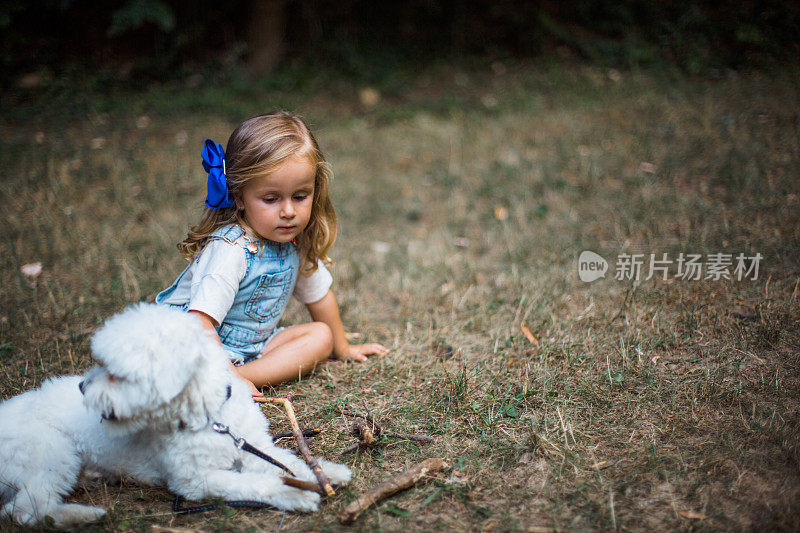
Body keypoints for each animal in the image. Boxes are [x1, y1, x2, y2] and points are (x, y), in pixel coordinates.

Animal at [0, 302, 350, 524]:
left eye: (116, 373)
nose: (82, 387)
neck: (210, 420)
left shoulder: (253, 446)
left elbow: (287, 461)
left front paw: (325, 472)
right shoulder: (196, 480)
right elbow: (255, 483)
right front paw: (293, 494)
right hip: (51, 454)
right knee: (25, 510)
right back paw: (83, 516)